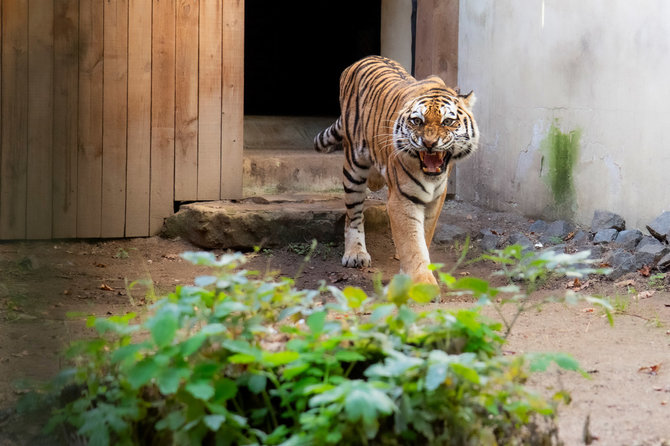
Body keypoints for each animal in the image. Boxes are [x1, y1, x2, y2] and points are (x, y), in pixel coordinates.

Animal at [314, 55, 478, 284]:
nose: (429, 143)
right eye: (417, 121)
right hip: (353, 167)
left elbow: (423, 236)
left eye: (448, 121)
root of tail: (363, 59)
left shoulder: (437, 198)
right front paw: (423, 282)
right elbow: (412, 242)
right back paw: (356, 253)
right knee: (353, 214)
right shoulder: (403, 198)